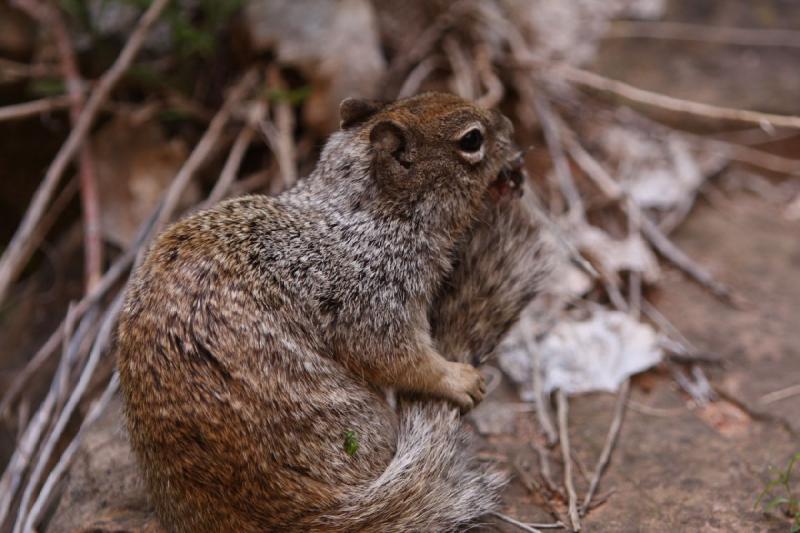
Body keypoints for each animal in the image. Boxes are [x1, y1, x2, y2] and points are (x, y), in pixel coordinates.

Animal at [117, 93, 552, 528]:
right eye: (472, 139)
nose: (510, 126)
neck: (367, 211)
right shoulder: (370, 297)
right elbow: (399, 358)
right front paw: (457, 378)